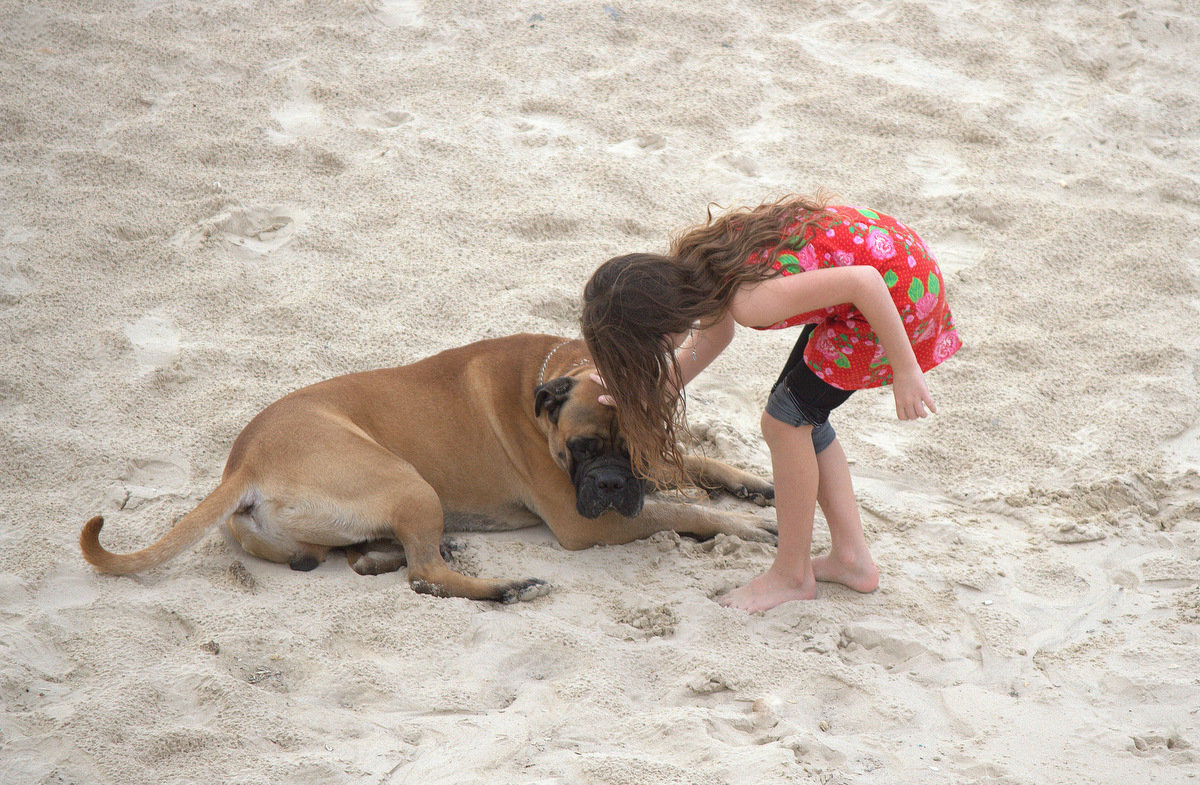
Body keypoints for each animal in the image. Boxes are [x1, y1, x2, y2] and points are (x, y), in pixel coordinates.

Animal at [84, 333, 777, 602]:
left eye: (631, 452)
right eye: (581, 449)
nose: (608, 484)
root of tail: (243, 463)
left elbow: (697, 463)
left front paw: (751, 485)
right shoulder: (588, 524)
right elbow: (683, 510)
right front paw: (745, 527)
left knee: (374, 558)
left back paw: (391, 554)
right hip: (408, 483)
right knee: (425, 577)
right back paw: (502, 586)